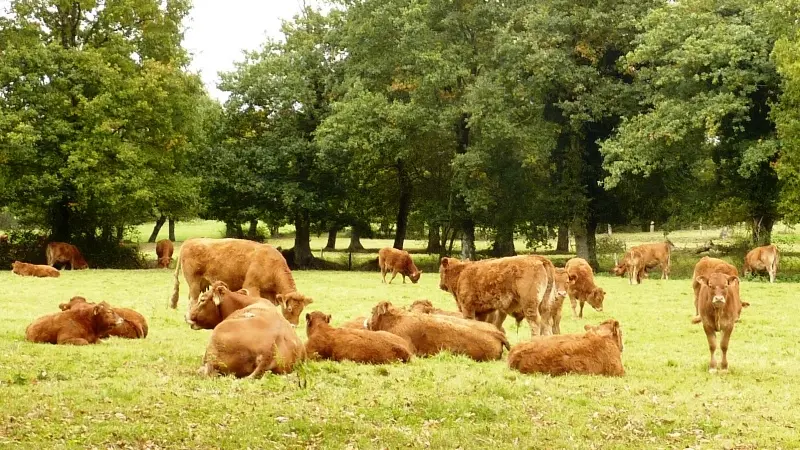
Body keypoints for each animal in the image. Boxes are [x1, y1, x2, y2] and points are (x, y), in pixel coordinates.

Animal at [169, 238, 306, 322]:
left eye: (301, 310)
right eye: (290, 309)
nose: (293, 325)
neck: (270, 263)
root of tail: (189, 241)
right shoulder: (251, 287)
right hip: (194, 284)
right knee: (193, 299)